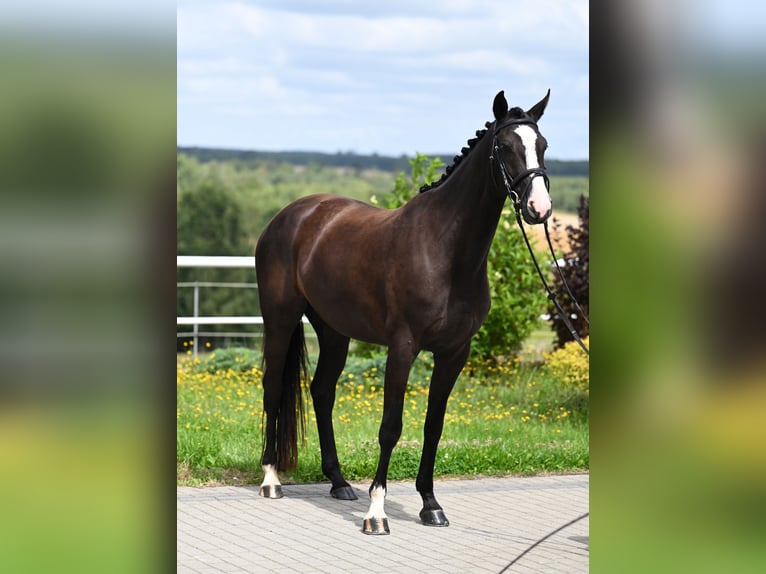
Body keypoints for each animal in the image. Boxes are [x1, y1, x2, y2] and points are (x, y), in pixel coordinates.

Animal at [256, 90, 552, 536]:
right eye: (503, 146)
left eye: (543, 145)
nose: (539, 208)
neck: (445, 249)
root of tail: (289, 216)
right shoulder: (403, 347)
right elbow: (390, 428)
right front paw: (377, 514)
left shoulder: (454, 353)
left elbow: (433, 427)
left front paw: (430, 505)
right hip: (280, 321)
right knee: (273, 389)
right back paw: (271, 478)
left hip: (334, 331)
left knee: (322, 392)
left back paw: (339, 483)